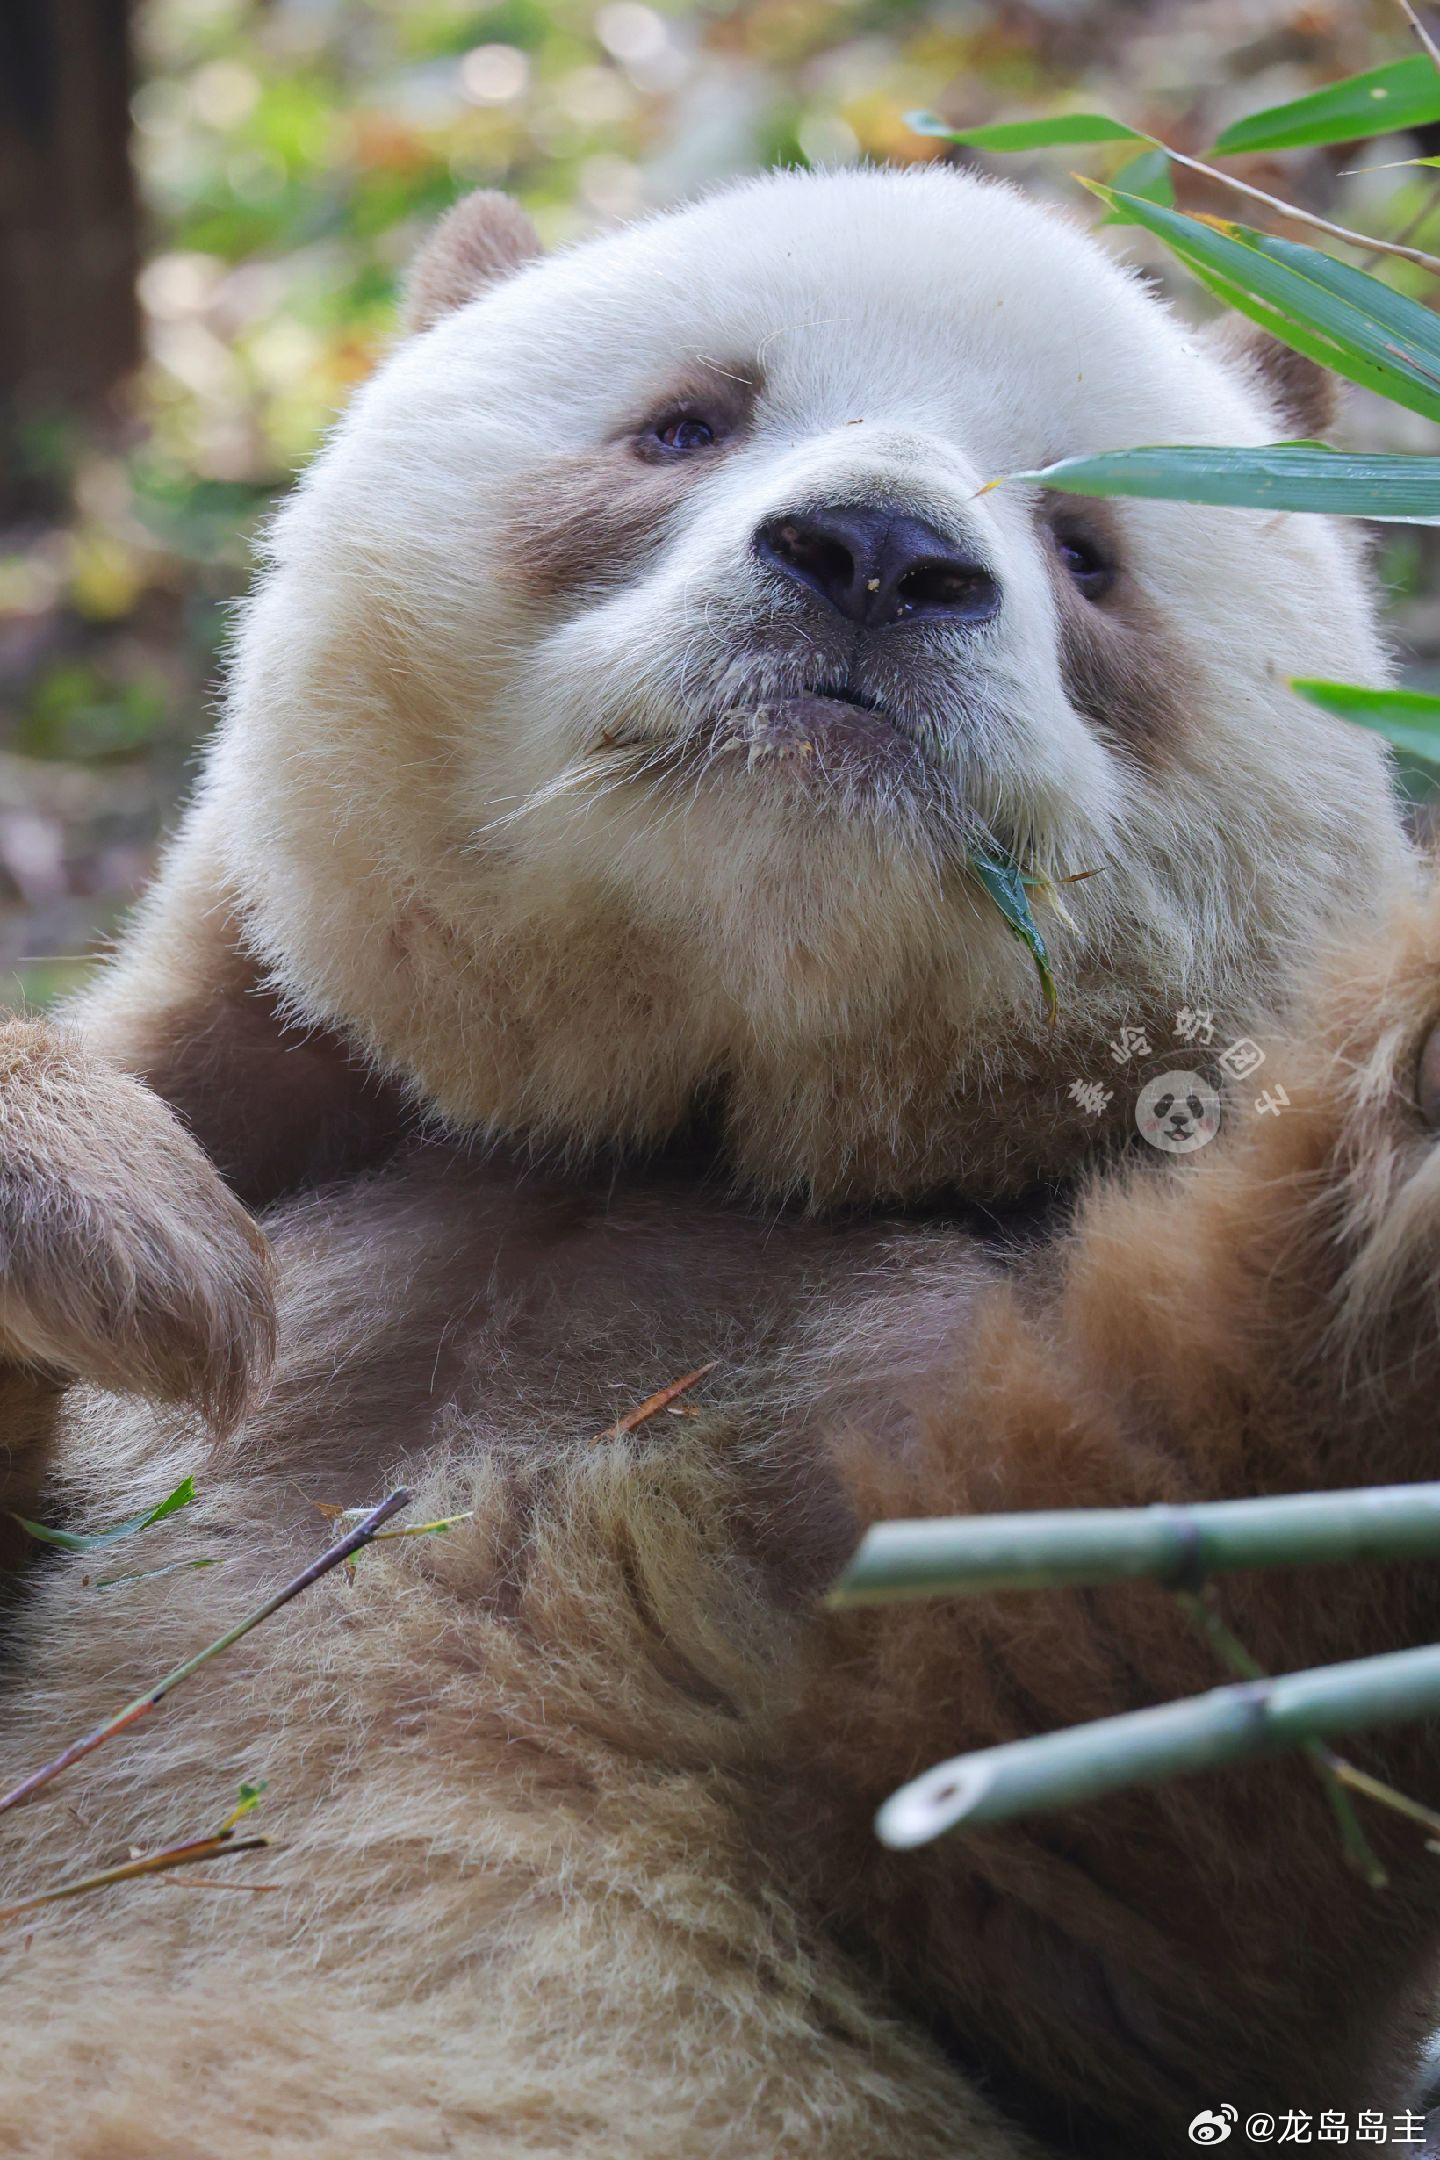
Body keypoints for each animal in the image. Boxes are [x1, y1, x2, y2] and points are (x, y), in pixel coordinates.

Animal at [0, 172, 1433, 2160]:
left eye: (1086, 547)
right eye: (685, 422)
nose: (880, 557)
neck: (658, 1140)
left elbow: (1141, 1820)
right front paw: (117, 1233)